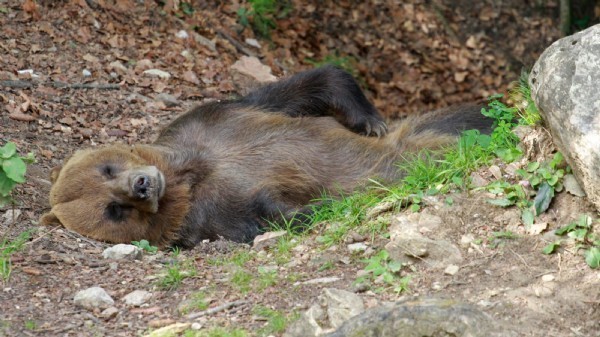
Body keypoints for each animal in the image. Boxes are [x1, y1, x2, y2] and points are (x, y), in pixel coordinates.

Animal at [41, 65, 492, 247]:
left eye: (108, 166)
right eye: (112, 211)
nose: (142, 185)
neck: (192, 172)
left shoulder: (216, 120)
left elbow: (299, 90)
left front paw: (369, 118)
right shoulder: (215, 214)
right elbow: (275, 212)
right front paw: (323, 204)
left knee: (469, 117)